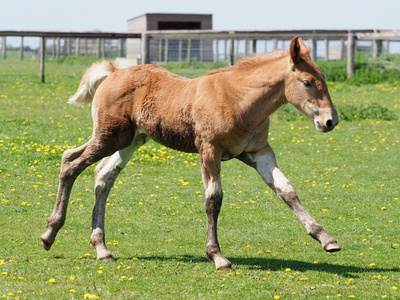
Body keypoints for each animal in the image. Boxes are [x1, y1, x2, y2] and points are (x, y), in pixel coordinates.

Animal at [41, 37, 340, 270]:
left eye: (323, 80)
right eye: (306, 82)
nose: (330, 121)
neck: (239, 99)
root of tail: (114, 72)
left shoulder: (259, 152)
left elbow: (286, 190)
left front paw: (326, 238)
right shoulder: (209, 151)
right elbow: (213, 200)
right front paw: (217, 256)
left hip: (130, 141)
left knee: (103, 176)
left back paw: (101, 248)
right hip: (108, 137)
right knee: (70, 161)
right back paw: (49, 234)